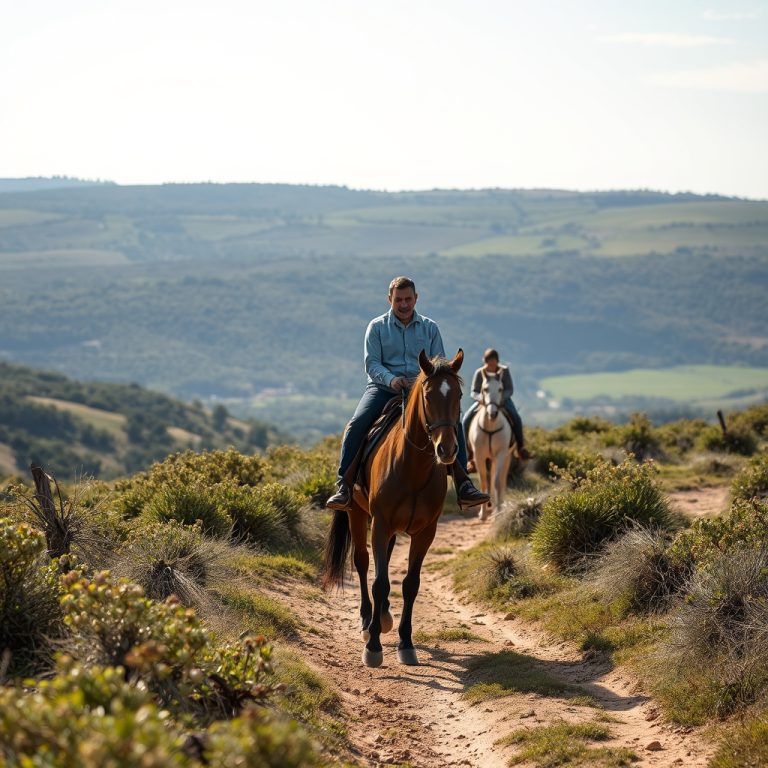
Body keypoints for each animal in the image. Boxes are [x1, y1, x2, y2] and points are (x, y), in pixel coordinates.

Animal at [322, 349, 464, 668]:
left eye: (459, 395)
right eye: (428, 396)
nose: (447, 450)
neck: (412, 468)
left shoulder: (425, 532)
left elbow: (410, 584)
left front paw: (405, 643)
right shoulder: (381, 523)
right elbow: (380, 582)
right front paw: (373, 647)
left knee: (383, 561)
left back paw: (384, 616)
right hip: (357, 514)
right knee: (363, 563)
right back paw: (367, 621)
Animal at [467, 370, 512, 521]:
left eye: (500, 389)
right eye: (485, 389)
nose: (493, 413)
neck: (491, 426)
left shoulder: (501, 454)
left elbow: (497, 482)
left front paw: (498, 511)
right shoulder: (479, 456)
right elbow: (484, 482)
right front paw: (483, 513)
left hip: (507, 457)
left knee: (501, 480)